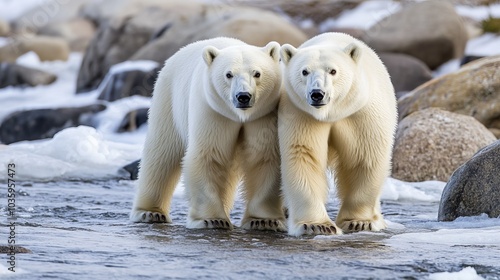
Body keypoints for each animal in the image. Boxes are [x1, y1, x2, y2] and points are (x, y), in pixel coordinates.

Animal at [130, 37, 286, 231]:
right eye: (228, 74)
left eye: (257, 73)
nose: (243, 96)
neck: (240, 115)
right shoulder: (213, 111)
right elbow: (209, 154)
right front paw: (212, 219)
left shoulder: (264, 115)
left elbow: (264, 157)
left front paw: (264, 221)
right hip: (168, 99)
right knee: (162, 152)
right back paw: (150, 213)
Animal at [280, 31, 396, 235]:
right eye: (304, 71)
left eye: (333, 71)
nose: (317, 94)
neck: (332, 112)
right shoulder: (301, 114)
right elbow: (303, 156)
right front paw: (317, 225)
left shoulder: (360, 113)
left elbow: (363, 158)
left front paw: (359, 222)